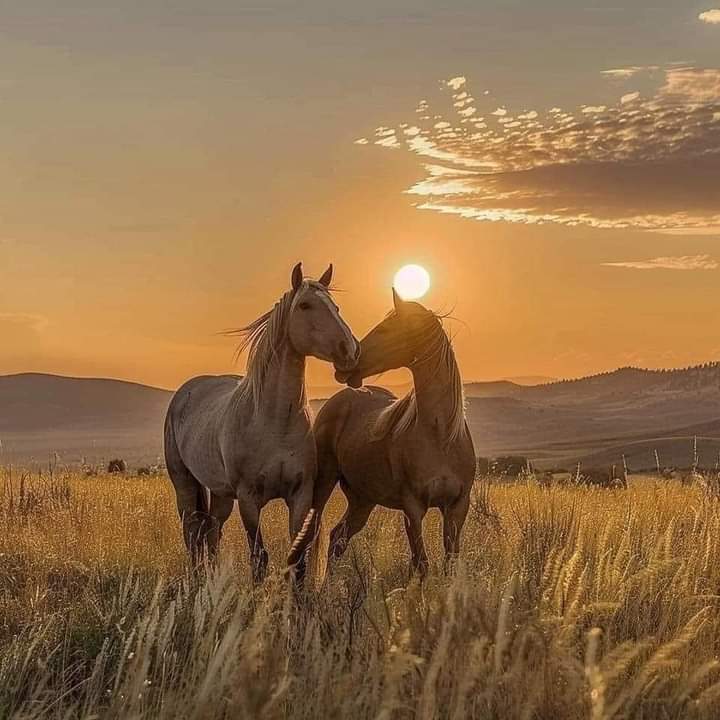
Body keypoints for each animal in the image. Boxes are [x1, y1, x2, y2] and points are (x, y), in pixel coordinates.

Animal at [164, 262, 359, 583]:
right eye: (305, 305)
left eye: (336, 307)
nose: (351, 351)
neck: (276, 422)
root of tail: (187, 390)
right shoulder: (249, 499)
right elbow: (259, 558)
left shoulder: (300, 496)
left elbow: (297, 561)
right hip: (185, 485)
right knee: (192, 534)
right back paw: (198, 581)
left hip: (221, 494)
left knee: (212, 531)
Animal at [288, 288, 476, 579]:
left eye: (386, 329)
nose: (347, 364)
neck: (442, 435)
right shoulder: (413, 508)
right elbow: (421, 564)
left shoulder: (457, 507)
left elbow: (450, 565)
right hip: (324, 485)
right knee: (311, 538)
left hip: (362, 499)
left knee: (337, 538)